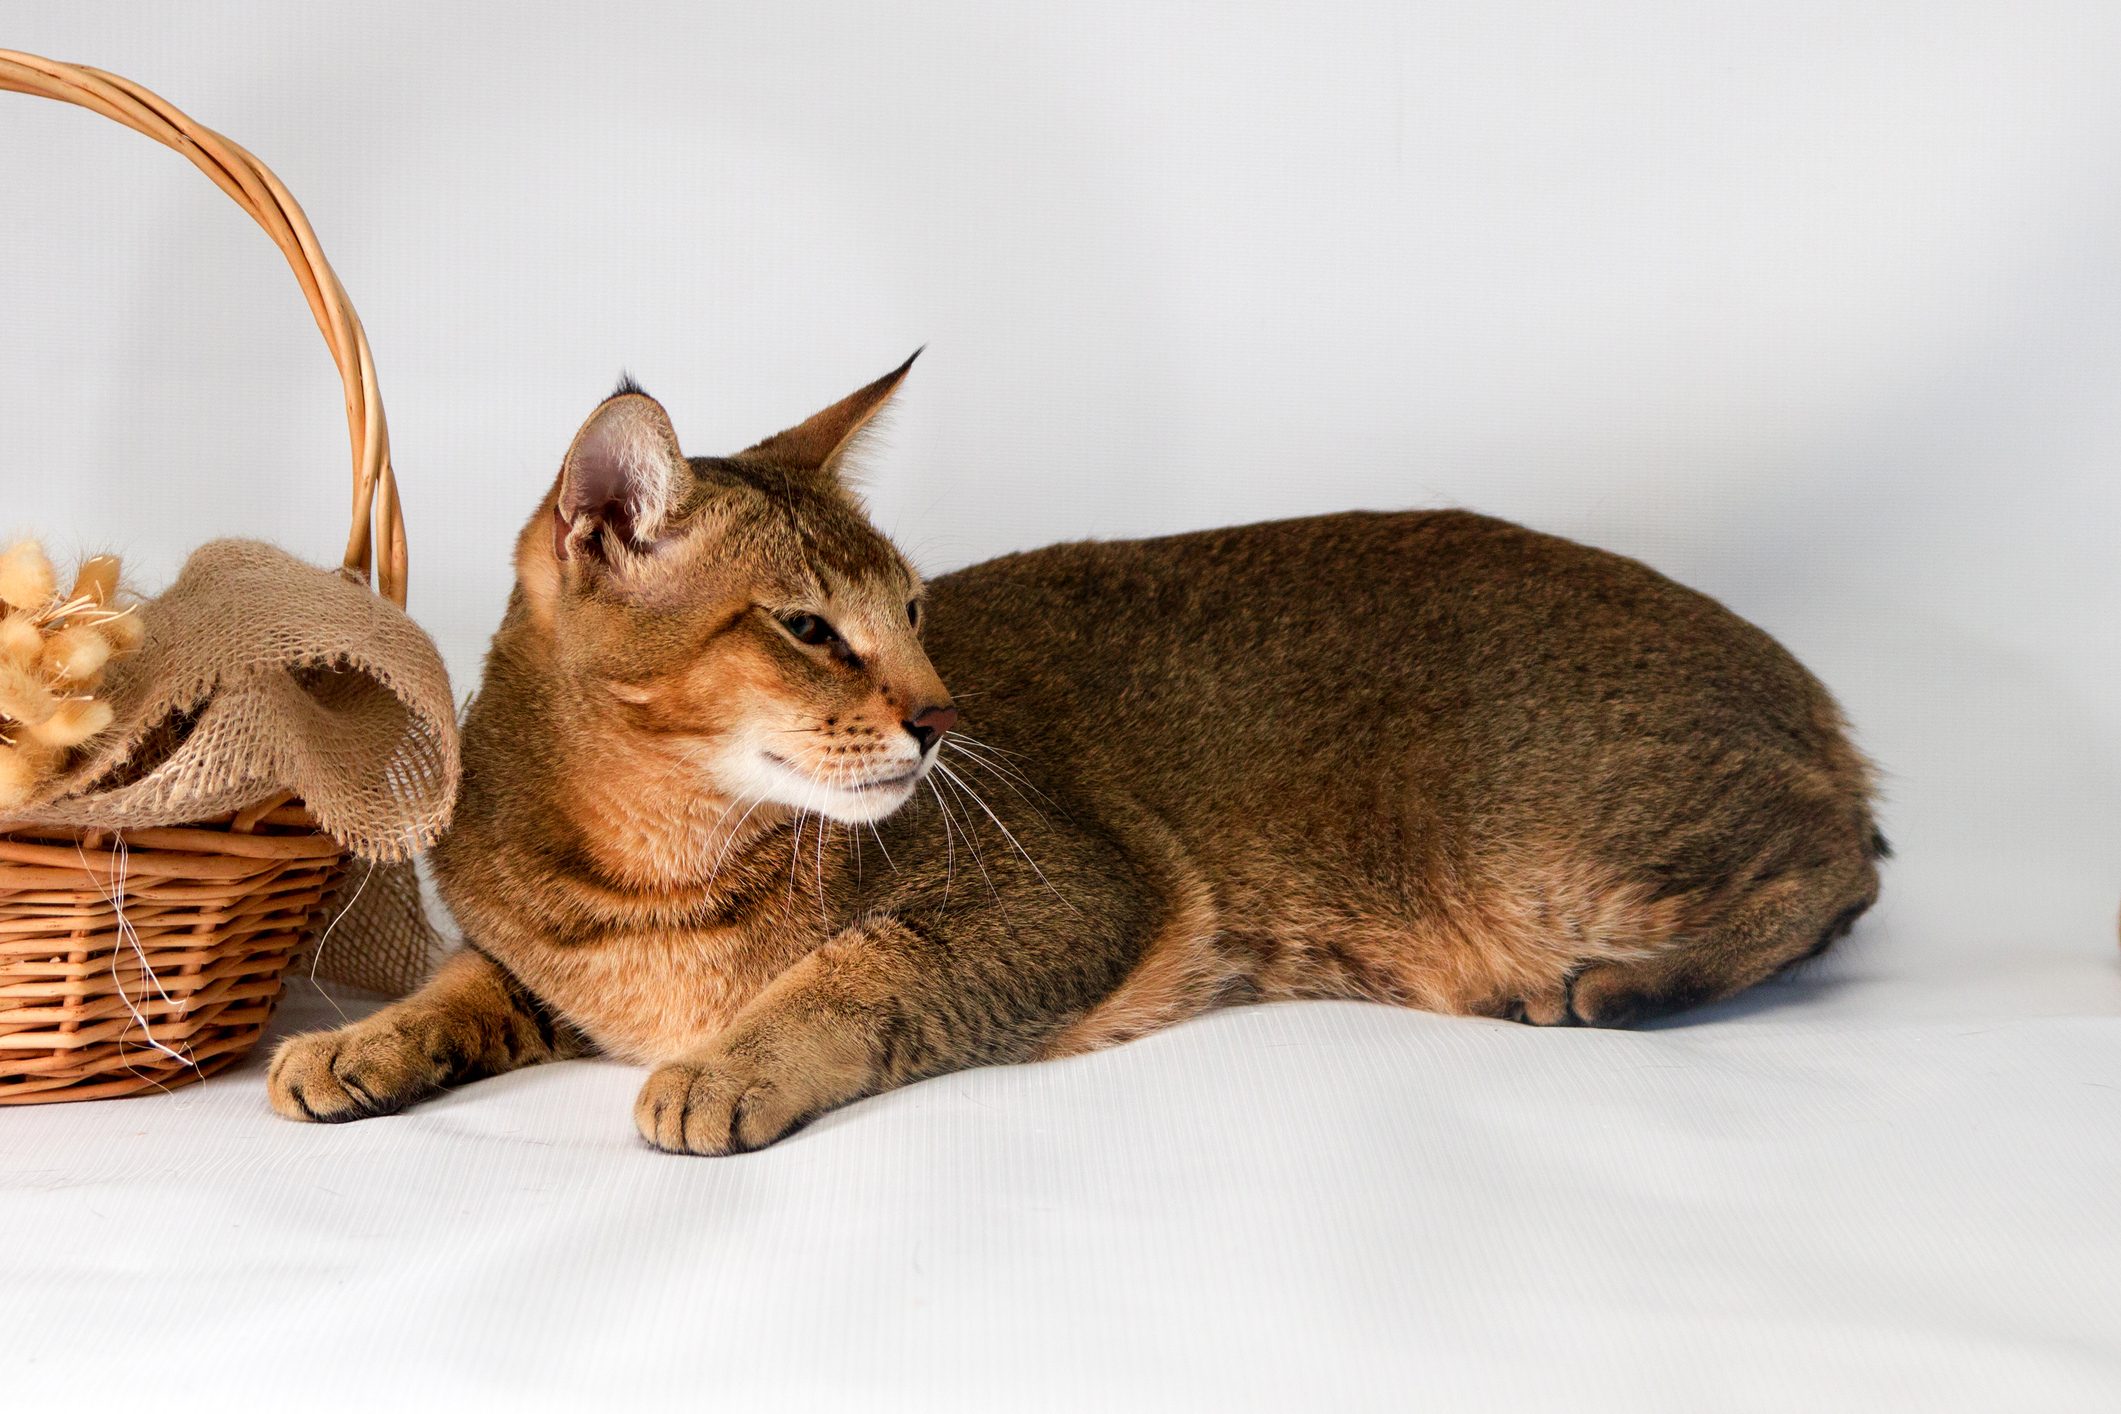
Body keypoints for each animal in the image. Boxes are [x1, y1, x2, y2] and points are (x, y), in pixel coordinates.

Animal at [269, 354, 1891, 1153]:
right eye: (809, 627)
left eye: (916, 611)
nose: (939, 716)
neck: (655, 866)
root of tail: (1806, 689)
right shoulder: (544, 961)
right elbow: (467, 981)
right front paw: (356, 1043)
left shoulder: (1063, 892)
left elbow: (856, 971)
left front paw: (727, 1065)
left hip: (1537, 834)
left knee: (1839, 866)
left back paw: (1618, 983)